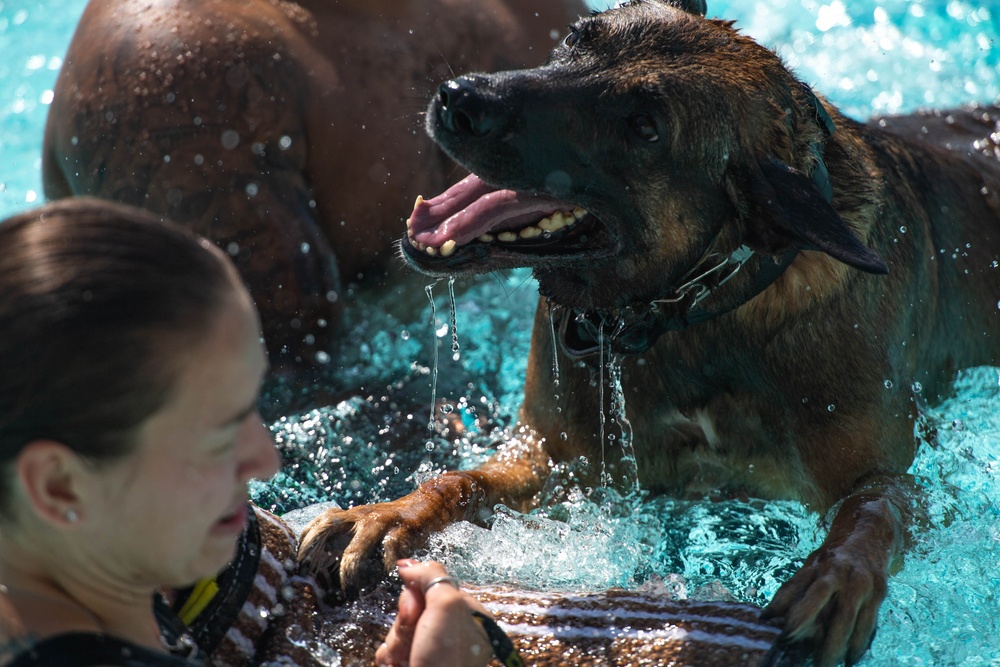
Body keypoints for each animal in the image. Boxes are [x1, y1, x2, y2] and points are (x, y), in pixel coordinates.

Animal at [300, 2, 1000, 664]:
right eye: (575, 38)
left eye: (643, 126)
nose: (457, 98)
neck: (691, 306)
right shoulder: (553, 456)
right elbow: (459, 480)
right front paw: (384, 514)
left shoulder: (903, 475)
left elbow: (877, 506)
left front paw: (839, 577)